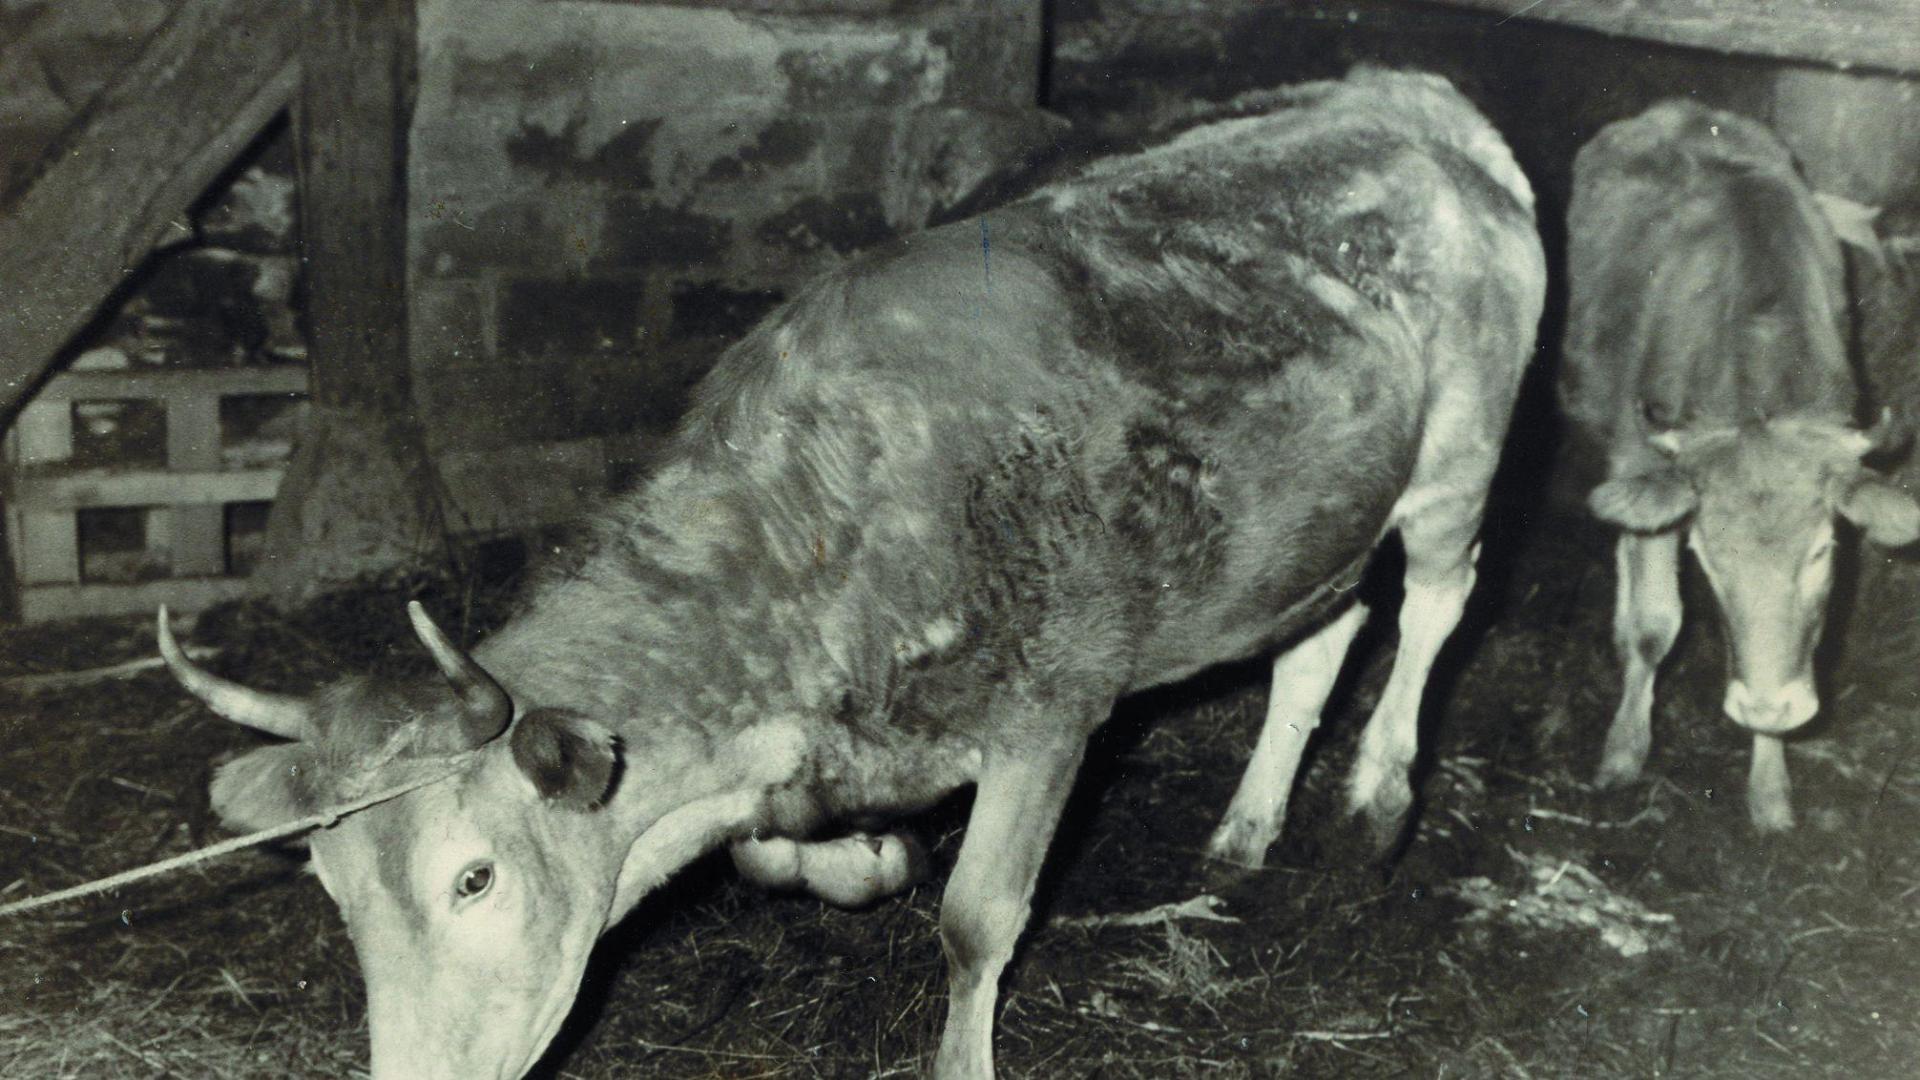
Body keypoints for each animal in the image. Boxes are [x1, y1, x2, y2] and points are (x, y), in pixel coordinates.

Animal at [160, 68, 1543, 1080]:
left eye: (474, 876)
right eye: (332, 886)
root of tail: (1415, 96)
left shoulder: (1055, 711)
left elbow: (980, 918)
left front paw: (959, 1053)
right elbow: (782, 862)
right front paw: (868, 860)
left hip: (1462, 454)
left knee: (1436, 603)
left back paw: (1375, 801)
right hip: (1312, 518)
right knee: (1324, 632)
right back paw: (1246, 831)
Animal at [1561, 100, 1920, 833]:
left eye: (1822, 553)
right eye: (1706, 559)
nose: (1766, 704)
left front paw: (1770, 786)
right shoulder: (1648, 465)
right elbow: (1652, 627)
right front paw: (1623, 751)